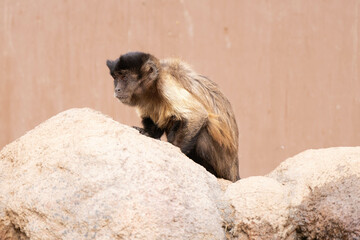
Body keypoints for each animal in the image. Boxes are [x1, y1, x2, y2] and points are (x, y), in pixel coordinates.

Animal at [107, 51, 242, 182]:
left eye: (124, 77)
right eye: (116, 79)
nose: (117, 89)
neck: (153, 88)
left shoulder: (165, 83)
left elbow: (197, 115)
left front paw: (176, 151)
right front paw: (148, 133)